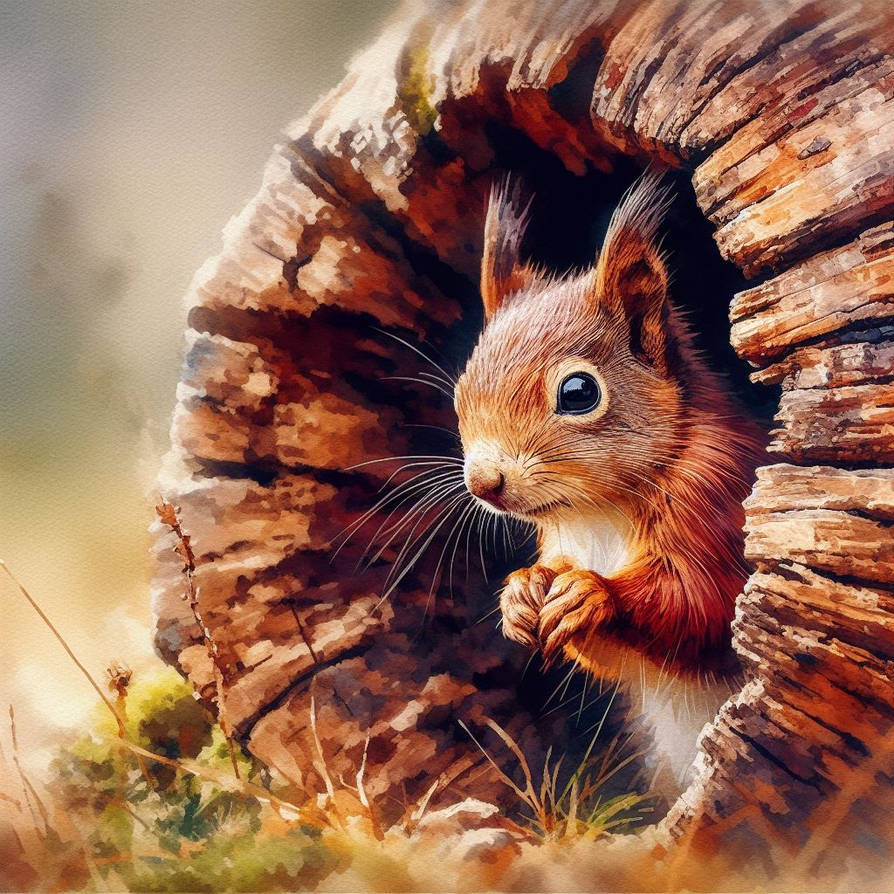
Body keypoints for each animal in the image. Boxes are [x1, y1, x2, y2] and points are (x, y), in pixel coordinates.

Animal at [453, 172, 766, 791]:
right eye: (460, 391)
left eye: (579, 393)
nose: (483, 483)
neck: (597, 510)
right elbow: (614, 661)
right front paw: (521, 591)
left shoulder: (719, 505)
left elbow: (704, 607)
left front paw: (593, 593)